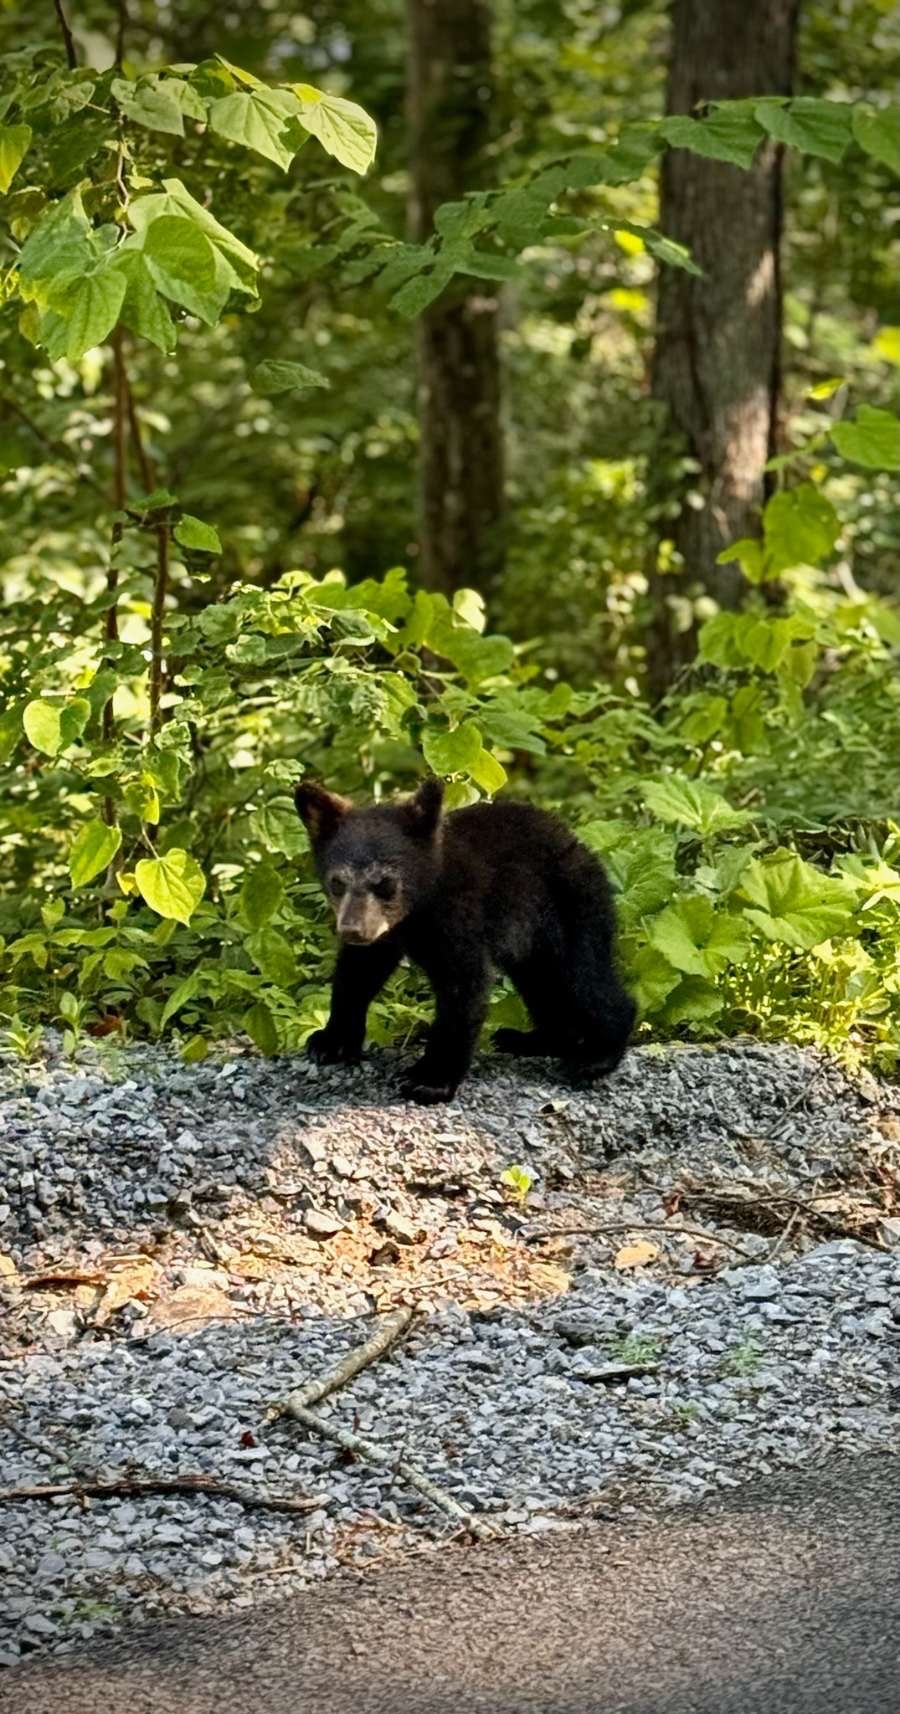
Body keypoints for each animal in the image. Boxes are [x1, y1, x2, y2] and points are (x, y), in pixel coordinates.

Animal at [294, 777, 636, 1105]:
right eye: (337, 882)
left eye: (385, 883)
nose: (353, 930)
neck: (421, 905)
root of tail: (578, 843)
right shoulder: (385, 934)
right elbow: (357, 974)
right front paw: (331, 1041)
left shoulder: (459, 913)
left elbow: (463, 986)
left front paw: (431, 1080)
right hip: (533, 944)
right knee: (542, 984)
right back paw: (530, 1039)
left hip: (570, 905)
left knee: (584, 977)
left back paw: (597, 1055)